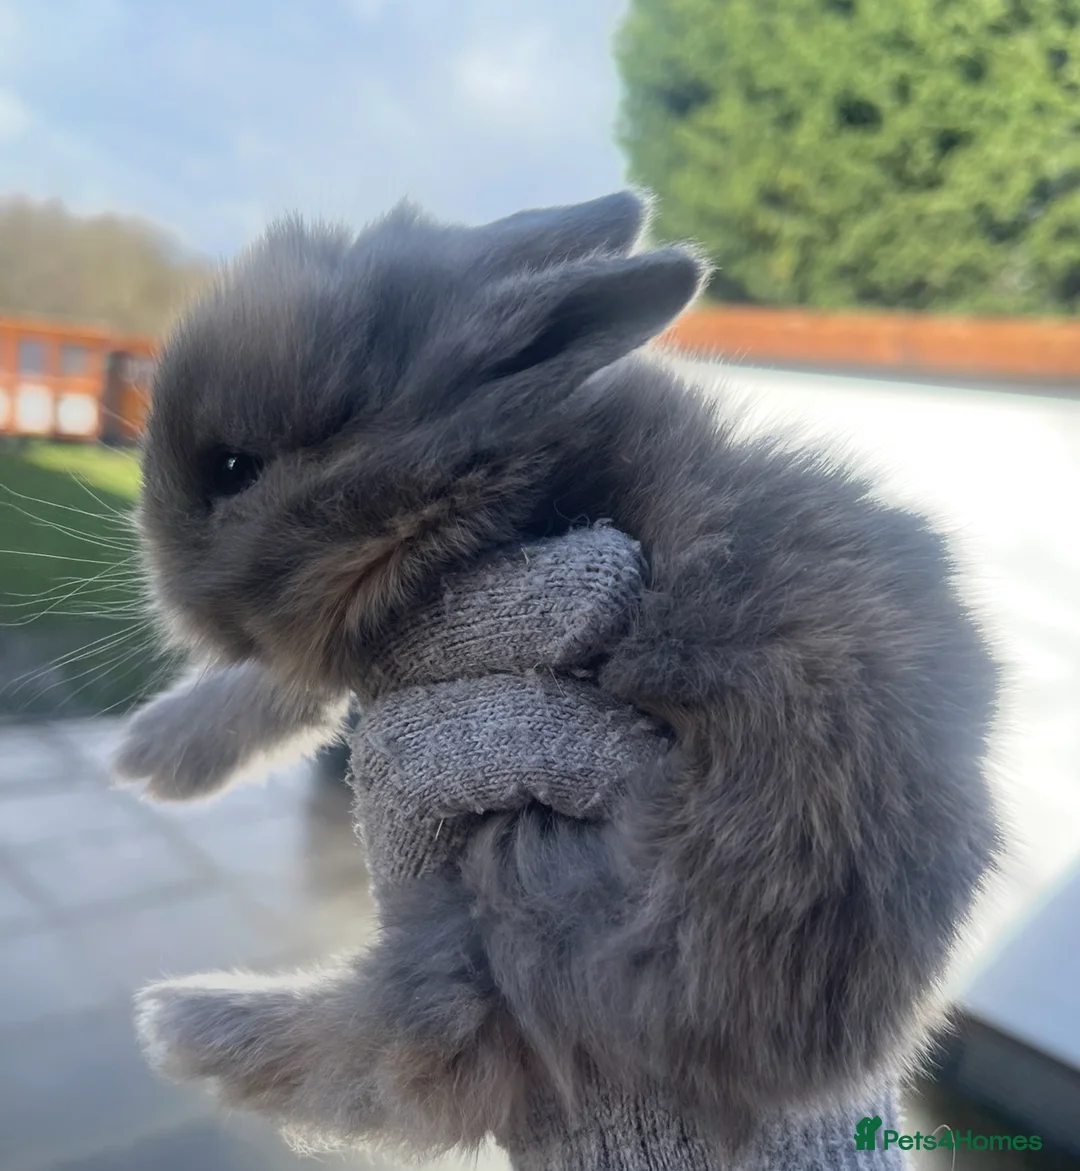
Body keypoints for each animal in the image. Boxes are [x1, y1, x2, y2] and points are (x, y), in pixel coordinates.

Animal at [121, 189, 1003, 1157]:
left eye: (232, 467)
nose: (163, 586)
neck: (483, 468)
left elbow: (282, 677)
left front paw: (152, 751)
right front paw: (155, 752)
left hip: (515, 875)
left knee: (424, 1027)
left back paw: (185, 1022)